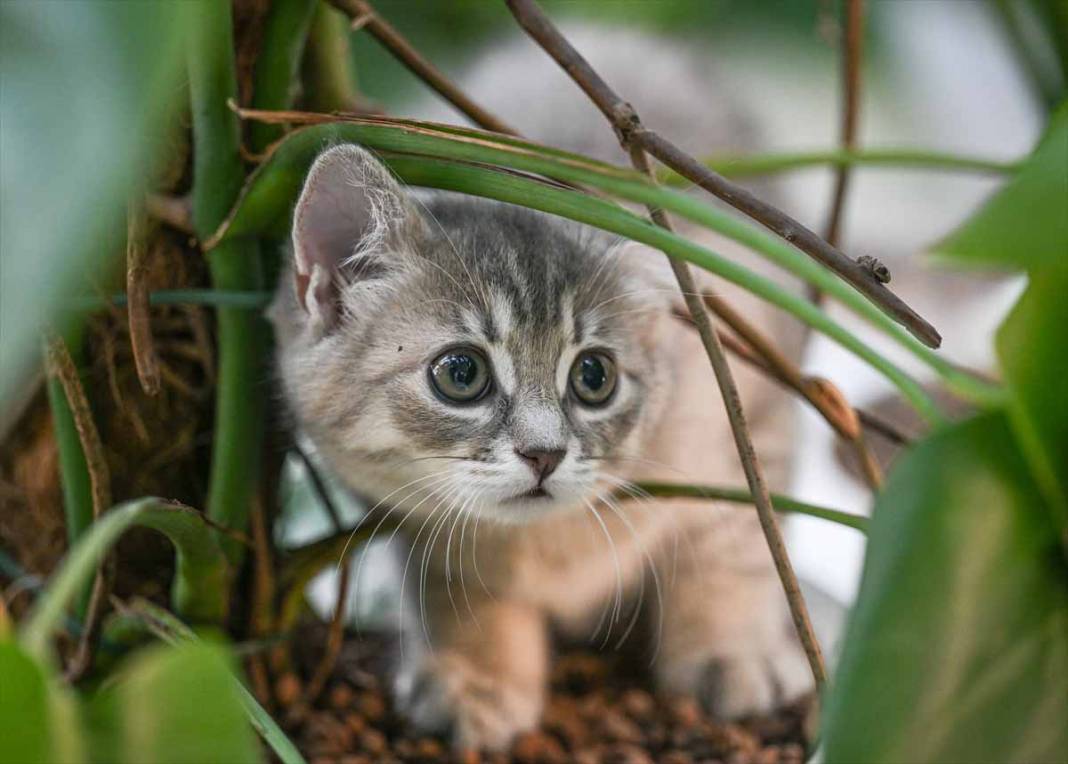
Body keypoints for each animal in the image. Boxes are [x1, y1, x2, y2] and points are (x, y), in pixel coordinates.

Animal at [271, 139, 811, 752]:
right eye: (460, 372)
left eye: (594, 376)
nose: (544, 453)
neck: (552, 541)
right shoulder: (419, 527)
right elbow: (459, 590)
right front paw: (480, 678)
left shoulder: (752, 410)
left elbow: (736, 544)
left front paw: (732, 649)